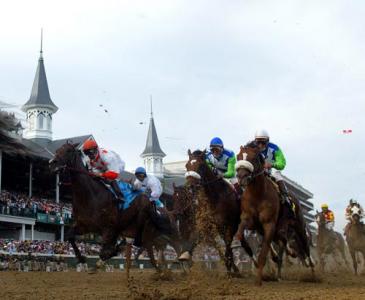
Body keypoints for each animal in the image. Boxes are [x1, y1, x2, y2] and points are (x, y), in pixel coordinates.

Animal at [49, 142, 178, 274]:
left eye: (68, 151)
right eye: (57, 150)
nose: (52, 163)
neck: (90, 195)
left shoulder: (108, 228)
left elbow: (104, 250)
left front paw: (100, 262)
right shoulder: (84, 226)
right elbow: (70, 236)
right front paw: (81, 258)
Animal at [235, 142, 314, 284]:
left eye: (253, 158)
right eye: (238, 157)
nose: (241, 178)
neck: (258, 194)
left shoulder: (269, 224)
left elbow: (264, 252)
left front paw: (259, 280)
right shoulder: (250, 221)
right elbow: (240, 234)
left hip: (299, 227)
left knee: (306, 248)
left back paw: (313, 273)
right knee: (284, 244)